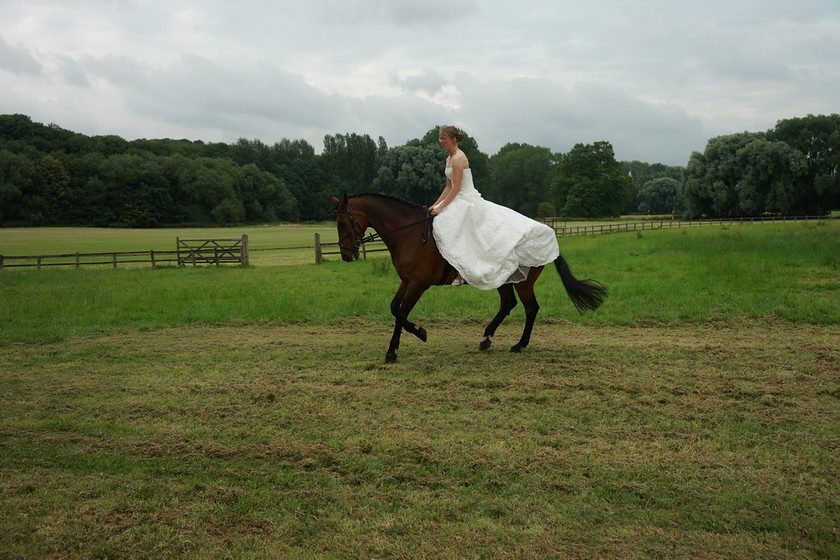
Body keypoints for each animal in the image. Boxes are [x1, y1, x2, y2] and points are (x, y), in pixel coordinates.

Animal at [332, 194, 608, 364]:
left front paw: (393, 351)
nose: (346, 255)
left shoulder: (419, 284)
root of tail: (549, 235)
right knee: (508, 304)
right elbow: (393, 308)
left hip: (522, 282)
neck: (409, 233)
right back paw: (486, 339)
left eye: (341, 222)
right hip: (504, 280)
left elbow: (400, 313)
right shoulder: (407, 281)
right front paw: (420, 332)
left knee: (531, 308)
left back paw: (519, 345)